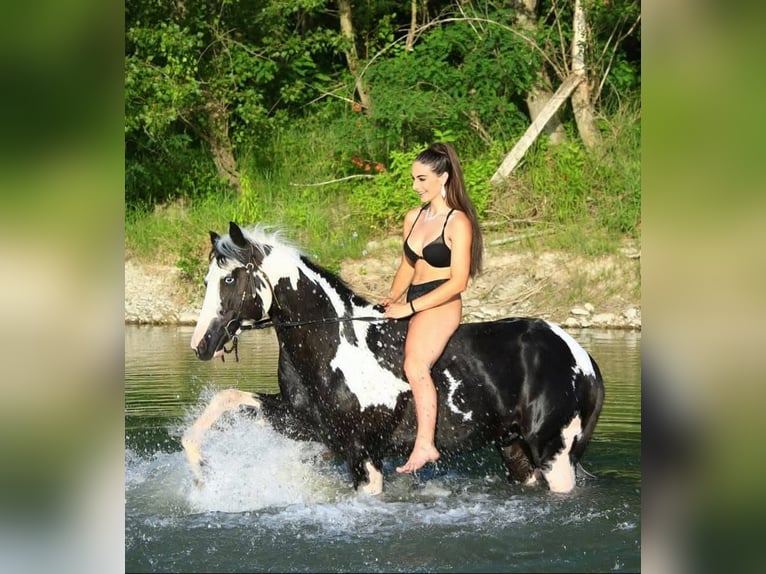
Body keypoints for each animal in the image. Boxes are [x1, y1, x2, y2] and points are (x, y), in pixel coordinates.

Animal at [183, 222, 605, 495]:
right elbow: (228, 399)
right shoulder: (299, 421)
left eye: (230, 279)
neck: (333, 341)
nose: (202, 344)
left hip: (554, 453)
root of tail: (580, 355)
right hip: (514, 448)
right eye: (207, 281)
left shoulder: (363, 453)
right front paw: (201, 471)